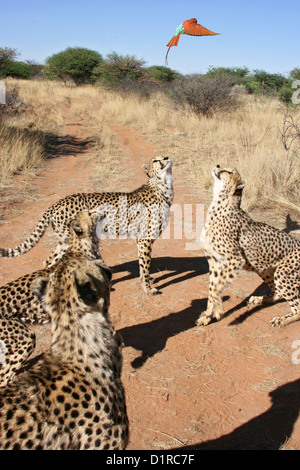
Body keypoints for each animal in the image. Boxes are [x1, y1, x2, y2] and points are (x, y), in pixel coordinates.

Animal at [0, 154, 173, 294]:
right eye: (155, 160)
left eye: (163, 155)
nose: (166, 158)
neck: (163, 187)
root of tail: (56, 204)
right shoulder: (145, 239)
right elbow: (145, 264)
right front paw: (148, 289)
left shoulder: (141, 240)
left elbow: (142, 264)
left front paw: (147, 281)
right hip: (70, 239)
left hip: (63, 240)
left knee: (49, 261)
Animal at [196, 165, 300, 326]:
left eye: (229, 172)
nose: (218, 166)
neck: (220, 203)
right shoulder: (214, 262)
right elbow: (211, 289)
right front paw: (207, 316)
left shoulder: (235, 260)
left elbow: (216, 289)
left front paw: (218, 310)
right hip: (264, 268)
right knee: (278, 292)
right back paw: (260, 299)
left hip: (282, 273)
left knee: (298, 308)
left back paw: (281, 319)